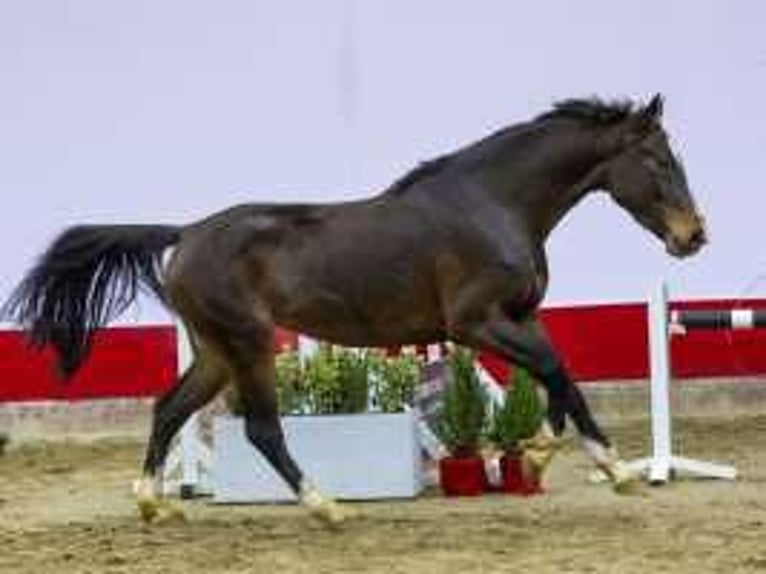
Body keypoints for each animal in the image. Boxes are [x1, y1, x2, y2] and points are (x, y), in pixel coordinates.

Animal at [0, 94, 708, 528]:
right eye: (655, 160)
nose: (693, 235)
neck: (493, 203)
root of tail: (187, 231)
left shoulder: (520, 315)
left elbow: (559, 377)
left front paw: (537, 454)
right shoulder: (475, 323)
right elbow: (557, 372)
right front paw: (612, 468)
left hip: (216, 351)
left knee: (168, 409)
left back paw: (155, 504)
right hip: (249, 342)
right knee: (261, 429)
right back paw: (328, 507)